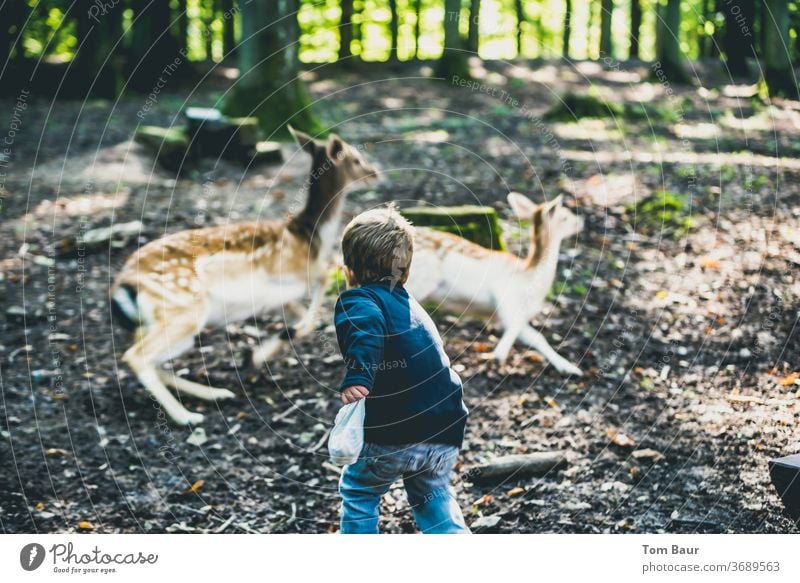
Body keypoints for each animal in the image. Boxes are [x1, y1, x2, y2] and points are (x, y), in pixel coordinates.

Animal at [110, 128, 382, 426]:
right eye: (355, 158)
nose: (376, 172)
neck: (310, 238)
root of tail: (121, 286)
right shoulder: (291, 270)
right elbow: (321, 291)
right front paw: (258, 353)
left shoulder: (280, 299)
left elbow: (308, 319)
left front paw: (259, 352)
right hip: (183, 310)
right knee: (136, 356)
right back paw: (187, 416)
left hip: (158, 322)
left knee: (151, 359)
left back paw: (217, 393)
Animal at [410, 192, 584, 374]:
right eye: (565, 216)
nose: (581, 221)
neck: (529, 280)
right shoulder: (508, 303)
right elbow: (524, 331)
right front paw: (499, 355)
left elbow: (537, 337)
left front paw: (570, 368)